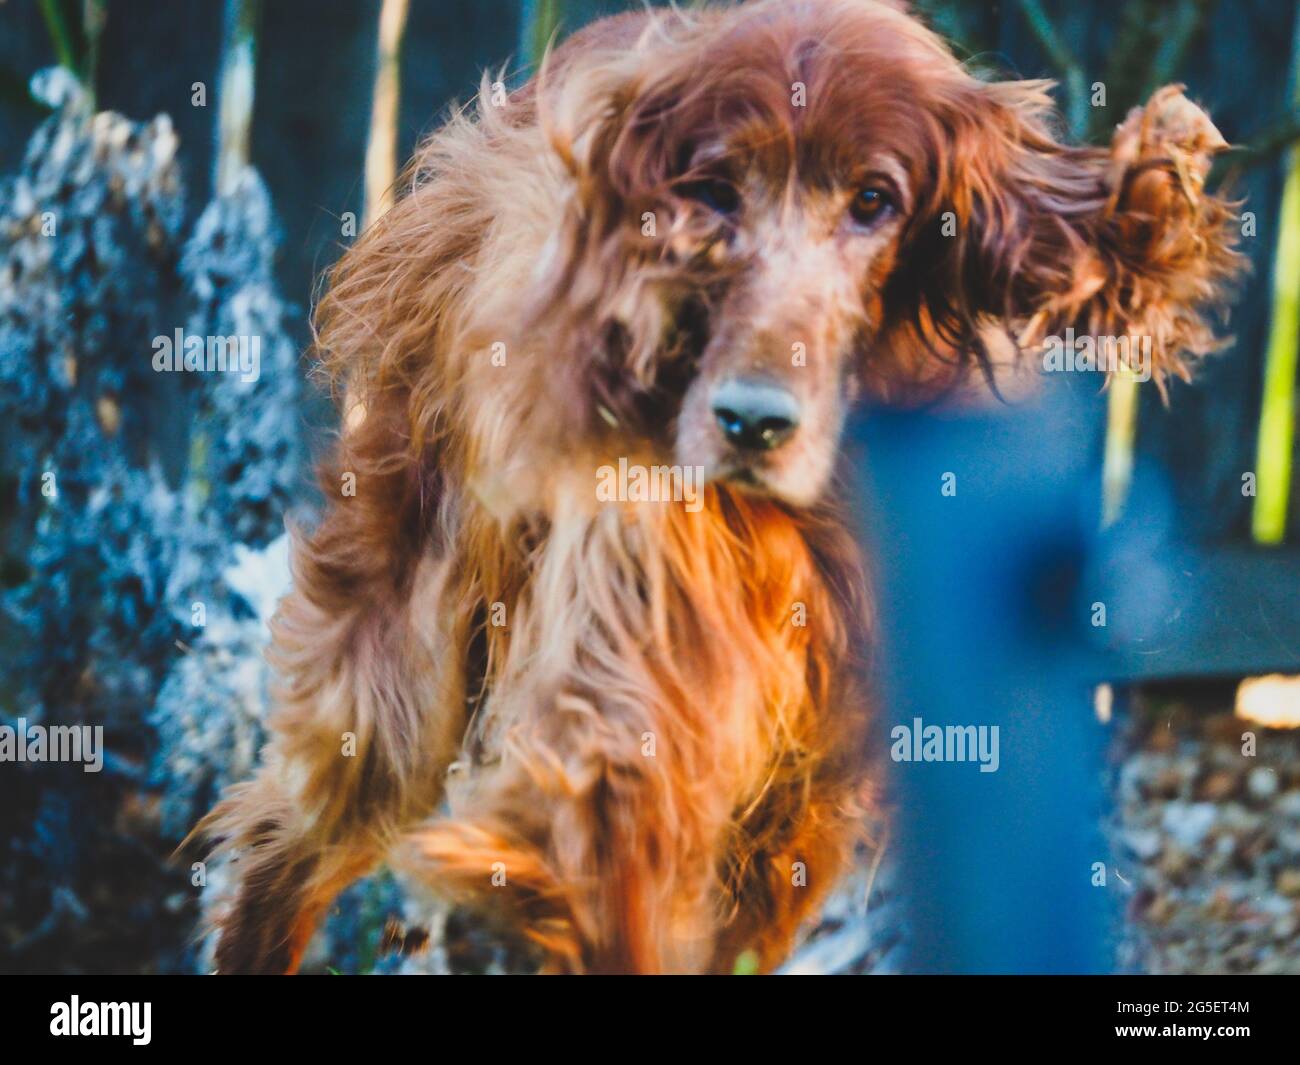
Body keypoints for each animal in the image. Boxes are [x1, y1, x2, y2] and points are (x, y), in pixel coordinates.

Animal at [192, 0, 1237, 972]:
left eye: (873, 199)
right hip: (400, 668)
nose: (752, 422)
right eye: (713, 194)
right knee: (293, 838)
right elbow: (601, 817)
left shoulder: (803, 791)